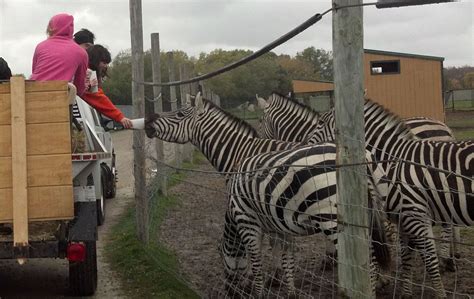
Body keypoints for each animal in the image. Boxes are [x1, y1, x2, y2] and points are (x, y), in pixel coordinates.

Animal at [220, 143, 390, 298]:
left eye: (221, 256)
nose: (229, 292)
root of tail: (363, 162)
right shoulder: (280, 225)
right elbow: (287, 260)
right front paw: (290, 292)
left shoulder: (247, 221)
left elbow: (256, 261)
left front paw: (259, 292)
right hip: (375, 211)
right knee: (373, 262)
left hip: (332, 219)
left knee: (367, 267)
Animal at [306, 100, 472, 298]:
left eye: (321, 123)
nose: (304, 147)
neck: (393, 160)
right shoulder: (404, 218)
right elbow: (407, 256)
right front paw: (405, 293)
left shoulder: (415, 215)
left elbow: (429, 258)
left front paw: (439, 294)